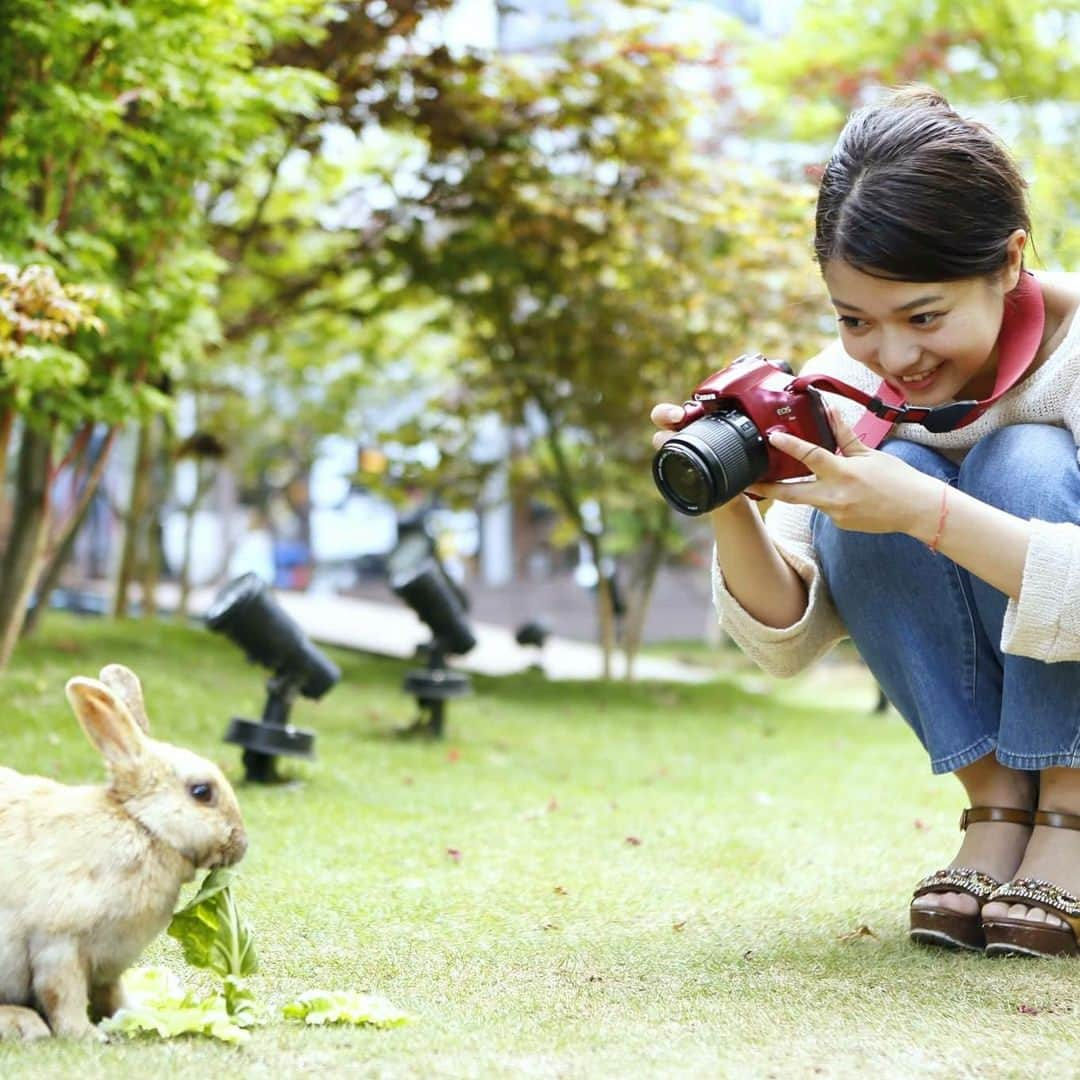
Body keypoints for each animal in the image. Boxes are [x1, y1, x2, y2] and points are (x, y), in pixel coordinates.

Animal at [0, 660, 247, 1041]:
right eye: (202, 792)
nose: (241, 843)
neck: (143, 827)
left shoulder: (109, 964)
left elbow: (112, 995)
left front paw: (140, 1014)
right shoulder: (58, 945)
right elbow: (63, 996)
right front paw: (87, 1036)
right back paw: (24, 1024)